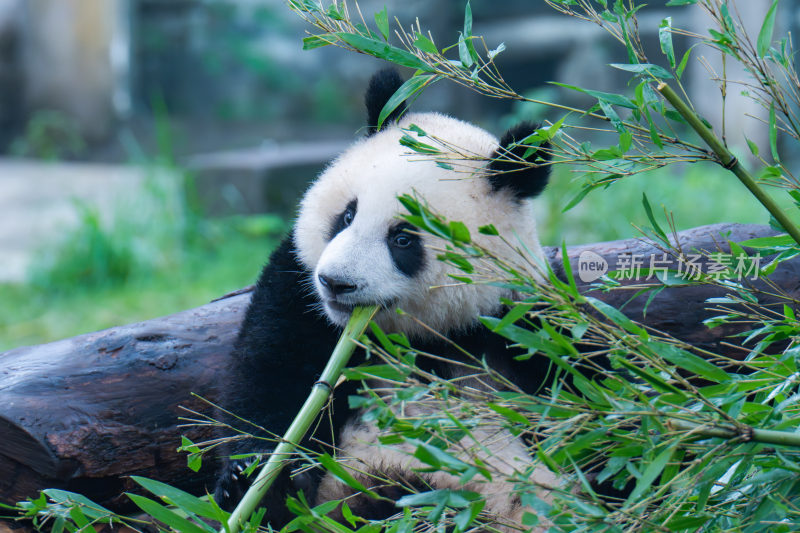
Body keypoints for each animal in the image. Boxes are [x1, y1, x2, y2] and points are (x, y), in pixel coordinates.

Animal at [216, 69, 560, 528]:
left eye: (402, 239)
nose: (335, 283)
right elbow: (269, 377)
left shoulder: (518, 320)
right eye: (347, 215)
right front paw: (255, 480)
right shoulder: (299, 295)